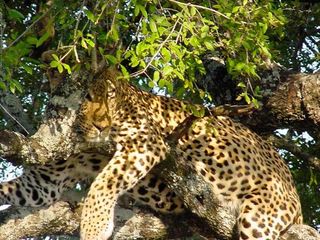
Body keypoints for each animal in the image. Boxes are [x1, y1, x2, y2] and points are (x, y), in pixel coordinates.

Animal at [0, 67, 302, 240]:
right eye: (85, 98)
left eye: (108, 95)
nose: (100, 125)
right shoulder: (47, 179)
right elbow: (17, 187)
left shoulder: (144, 143)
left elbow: (103, 182)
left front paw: (94, 227)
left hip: (259, 216)